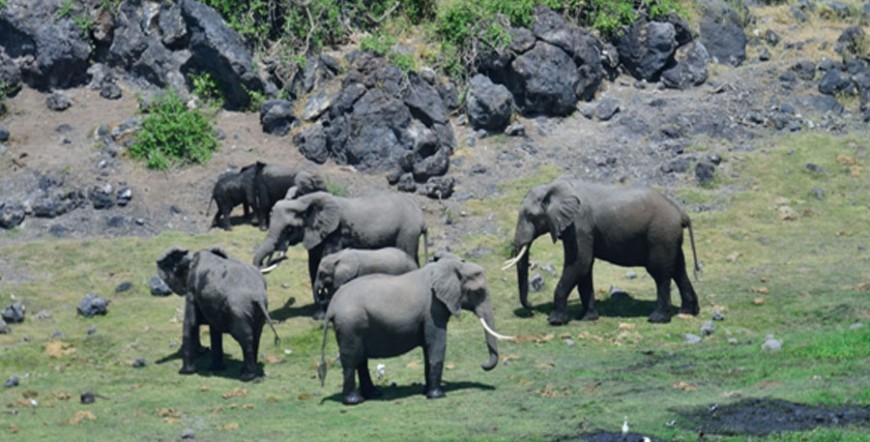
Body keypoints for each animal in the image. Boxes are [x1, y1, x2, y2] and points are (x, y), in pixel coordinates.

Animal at [155, 247, 280, 382]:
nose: (204, 350)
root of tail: (258, 297)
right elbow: (213, 328)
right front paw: (216, 368)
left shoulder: (192, 290)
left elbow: (191, 322)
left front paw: (185, 372)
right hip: (258, 311)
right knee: (256, 336)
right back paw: (249, 372)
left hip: (239, 313)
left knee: (245, 338)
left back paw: (247, 377)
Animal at [252, 192, 430, 320]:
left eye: (289, 229)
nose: (281, 254)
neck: (304, 201)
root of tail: (422, 219)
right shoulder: (317, 235)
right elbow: (313, 265)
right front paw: (318, 313)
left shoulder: (334, 234)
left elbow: (326, 260)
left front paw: (322, 314)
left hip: (407, 232)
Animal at [316, 258, 516, 406]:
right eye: (478, 292)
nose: (483, 365)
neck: (452, 266)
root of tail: (332, 306)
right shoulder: (432, 310)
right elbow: (437, 344)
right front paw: (438, 396)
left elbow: (429, 348)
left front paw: (426, 392)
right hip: (350, 325)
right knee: (351, 360)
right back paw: (354, 401)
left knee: (360, 360)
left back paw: (374, 394)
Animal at [504, 178, 700, 326]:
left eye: (530, 216)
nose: (531, 307)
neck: (555, 187)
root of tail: (681, 214)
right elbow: (584, 269)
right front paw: (587, 318)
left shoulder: (580, 225)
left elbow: (579, 264)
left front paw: (555, 321)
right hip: (670, 237)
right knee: (679, 270)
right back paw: (687, 312)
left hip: (660, 235)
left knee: (660, 273)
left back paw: (657, 319)